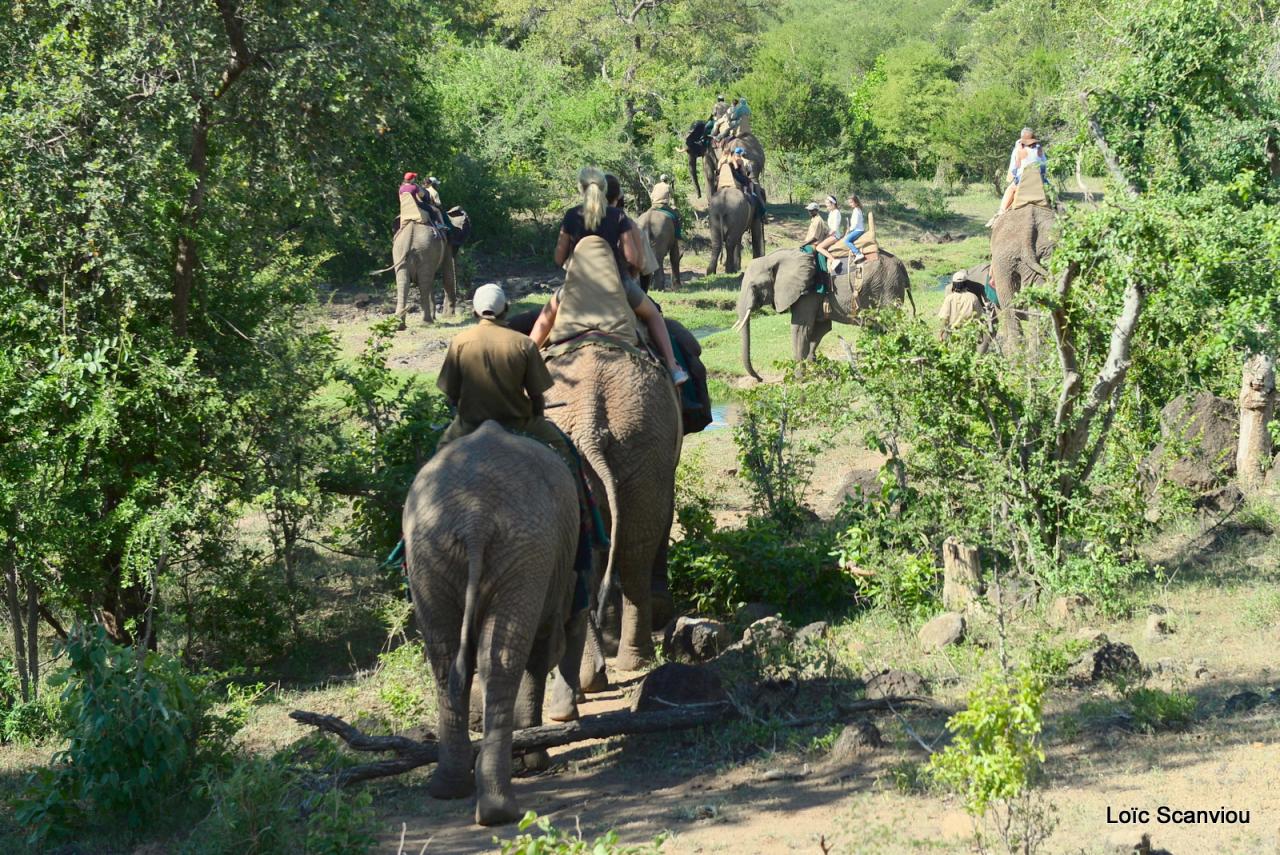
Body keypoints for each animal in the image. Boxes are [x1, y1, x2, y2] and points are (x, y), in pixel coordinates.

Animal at [401, 424, 583, 824]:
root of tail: (476, 518)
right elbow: (542, 651)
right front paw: (535, 760)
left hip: (433, 550)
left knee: (446, 658)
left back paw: (452, 789)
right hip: (521, 550)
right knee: (502, 658)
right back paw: (499, 807)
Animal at [737, 247, 916, 381]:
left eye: (754, 286)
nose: (760, 379)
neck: (775, 257)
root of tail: (901, 264)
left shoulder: (808, 292)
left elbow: (800, 328)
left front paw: (798, 378)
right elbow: (820, 328)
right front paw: (813, 366)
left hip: (888, 288)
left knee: (891, 324)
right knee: (878, 327)